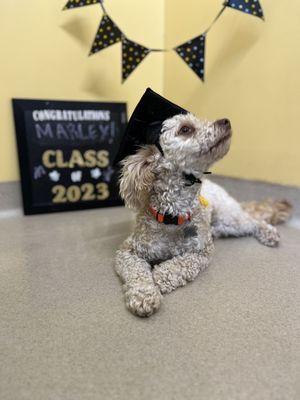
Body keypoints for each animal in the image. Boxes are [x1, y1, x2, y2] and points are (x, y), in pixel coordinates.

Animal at [114, 111, 290, 318]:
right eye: (186, 129)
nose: (226, 121)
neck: (172, 216)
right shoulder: (128, 251)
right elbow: (136, 272)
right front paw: (144, 295)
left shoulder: (202, 252)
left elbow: (180, 264)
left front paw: (158, 275)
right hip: (222, 226)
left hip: (229, 219)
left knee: (253, 221)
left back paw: (269, 233)